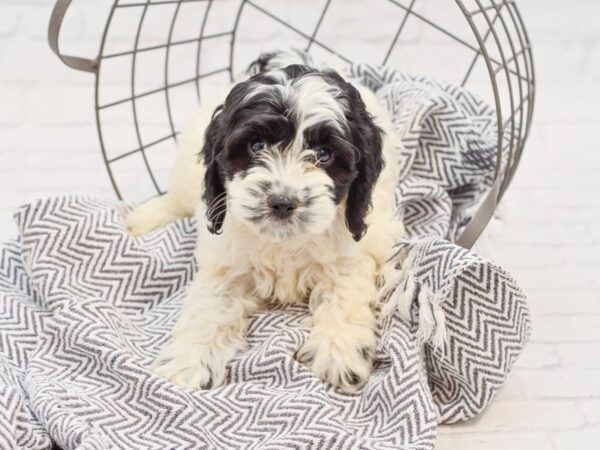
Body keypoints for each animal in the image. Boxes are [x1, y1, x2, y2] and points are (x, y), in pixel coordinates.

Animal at [129, 52, 406, 392]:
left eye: (324, 154)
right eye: (257, 146)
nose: (282, 202)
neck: (283, 242)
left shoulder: (355, 248)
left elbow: (345, 291)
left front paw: (339, 350)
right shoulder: (225, 261)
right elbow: (210, 306)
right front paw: (189, 361)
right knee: (177, 198)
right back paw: (142, 218)